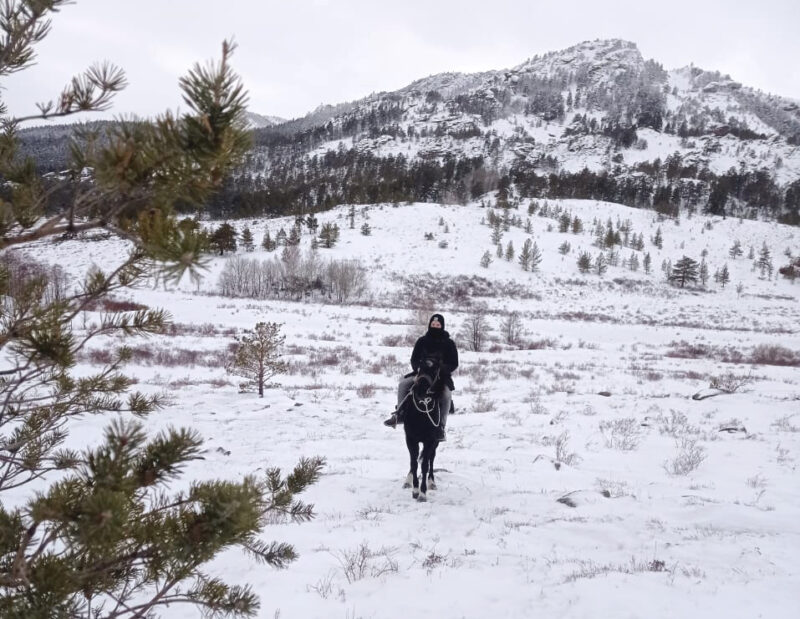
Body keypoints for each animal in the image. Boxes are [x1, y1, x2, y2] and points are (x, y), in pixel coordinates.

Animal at [400, 360, 444, 502]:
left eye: (435, 371)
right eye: (419, 369)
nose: (420, 389)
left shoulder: (430, 441)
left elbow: (424, 465)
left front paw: (422, 493)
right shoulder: (410, 439)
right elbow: (414, 463)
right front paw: (415, 490)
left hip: (436, 442)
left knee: (431, 459)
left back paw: (432, 482)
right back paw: (407, 481)